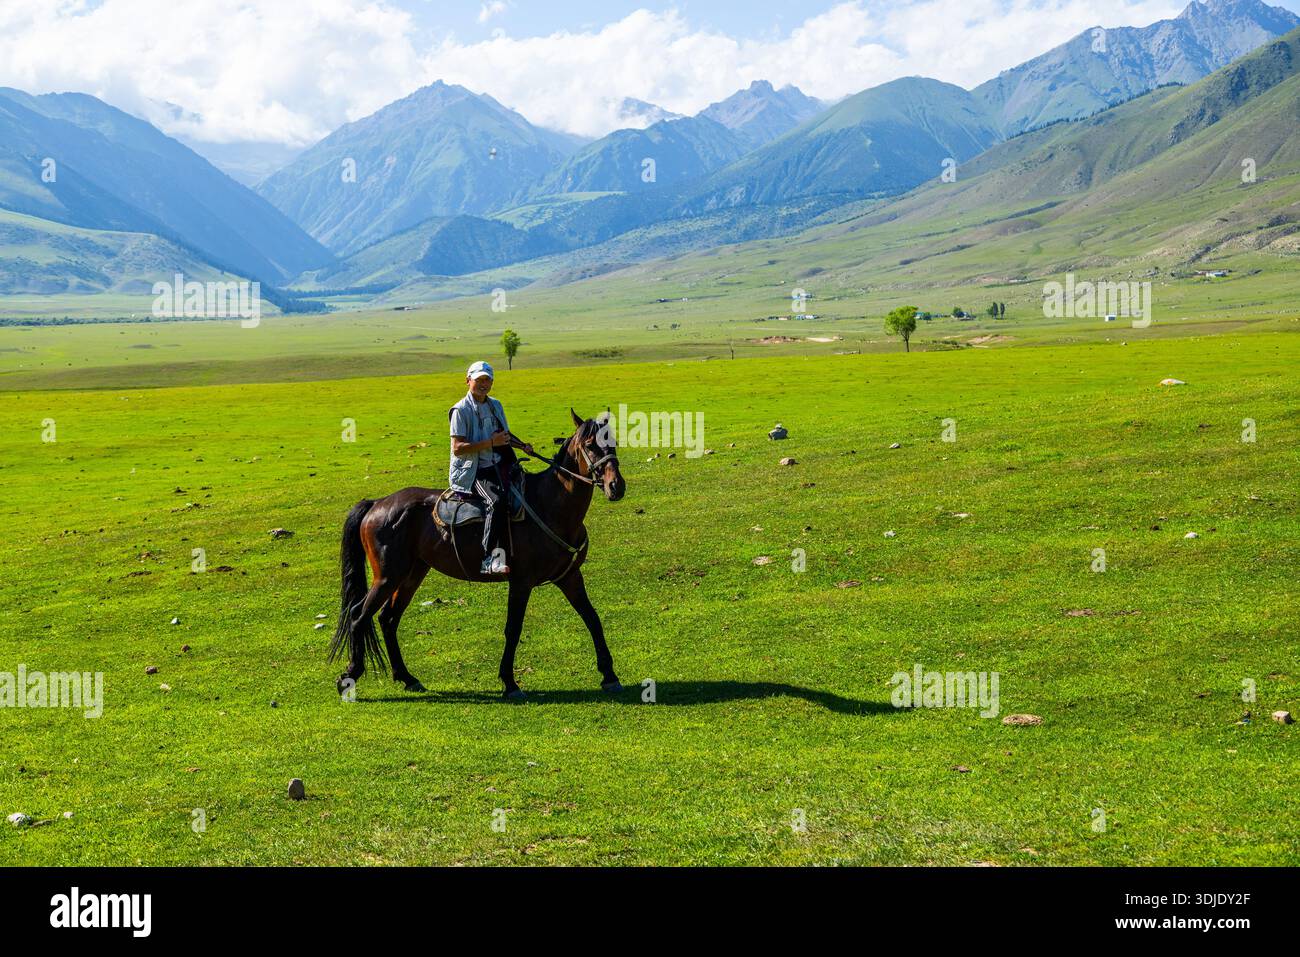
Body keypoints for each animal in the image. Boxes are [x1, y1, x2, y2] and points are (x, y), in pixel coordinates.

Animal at [328, 409, 626, 700]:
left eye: (613, 441)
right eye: (590, 444)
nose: (616, 486)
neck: (550, 506)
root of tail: (377, 503)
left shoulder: (569, 577)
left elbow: (592, 618)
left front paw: (609, 675)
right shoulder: (521, 582)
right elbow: (513, 629)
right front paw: (510, 682)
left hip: (413, 573)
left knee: (387, 619)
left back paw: (407, 678)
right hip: (388, 576)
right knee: (358, 616)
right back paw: (349, 677)